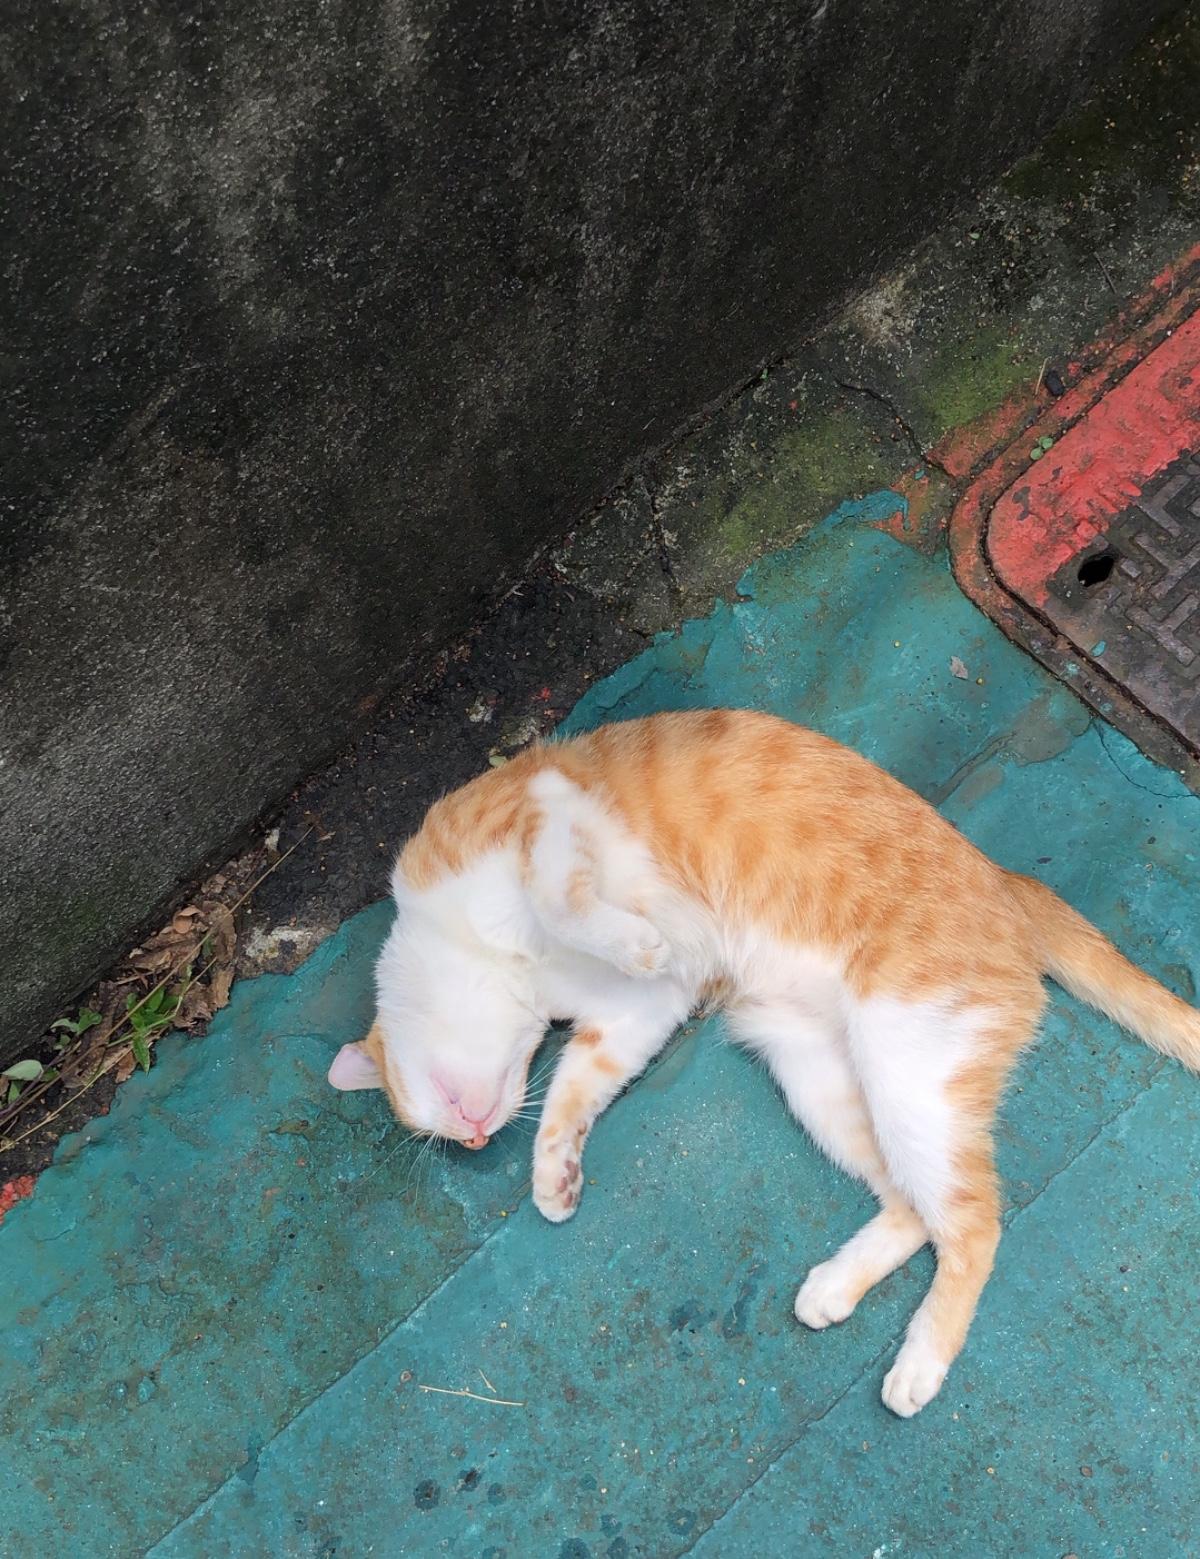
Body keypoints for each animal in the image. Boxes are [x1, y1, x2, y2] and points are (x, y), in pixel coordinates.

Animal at [327, 708, 1200, 1417]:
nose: (476, 1138)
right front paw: (553, 1175)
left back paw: (919, 1363)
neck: (507, 960)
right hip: (822, 1073)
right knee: (917, 1210)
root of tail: (1006, 880)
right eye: (449, 1136)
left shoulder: (544, 812)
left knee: (975, 1223)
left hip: (907, 1066)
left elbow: (563, 899)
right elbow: (576, 1086)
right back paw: (834, 1288)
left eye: (435, 1113)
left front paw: (630, 937)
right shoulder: (639, 1012)